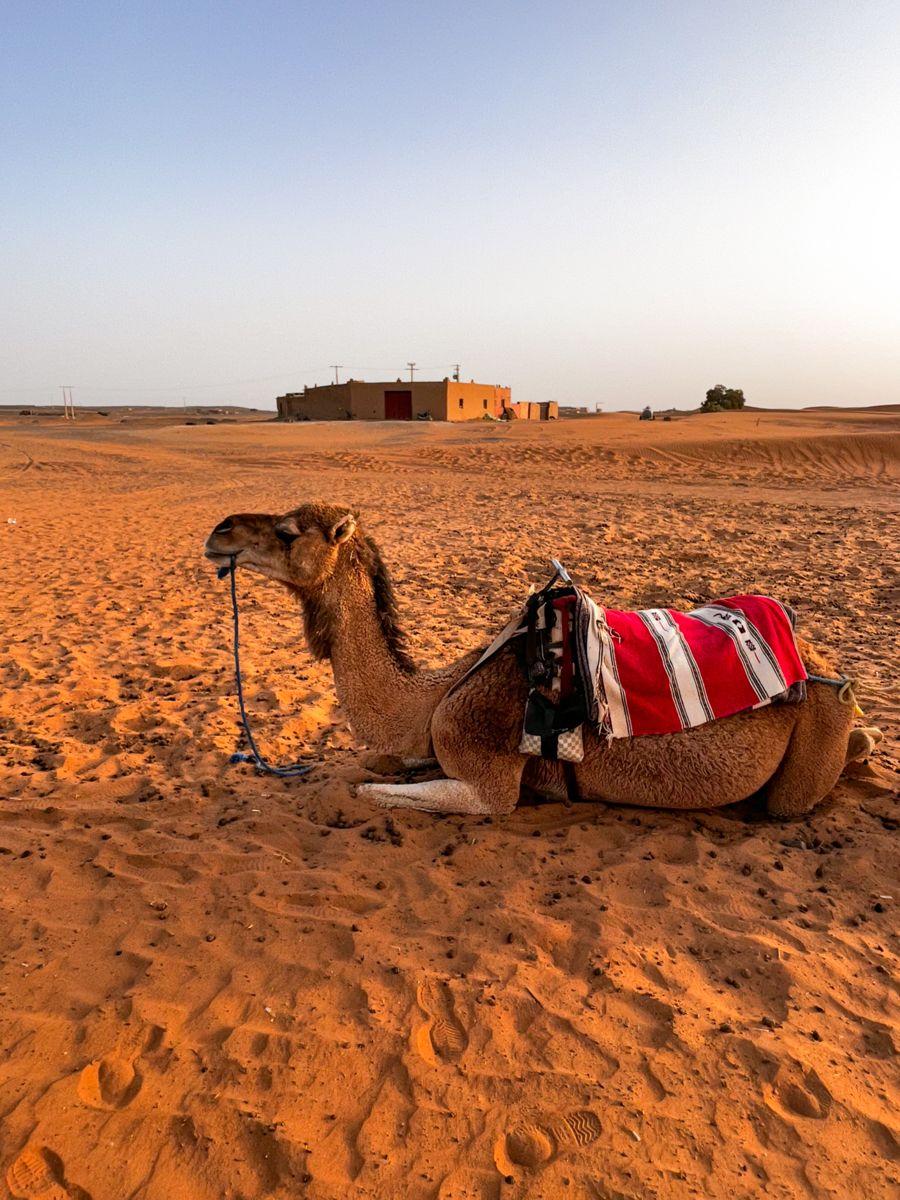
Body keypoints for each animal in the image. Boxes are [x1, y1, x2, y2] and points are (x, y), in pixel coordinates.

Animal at [204, 503, 879, 818]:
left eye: (289, 532)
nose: (219, 531)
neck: (436, 694)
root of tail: (816, 659)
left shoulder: (484, 776)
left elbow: (373, 790)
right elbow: (376, 766)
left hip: (811, 735)